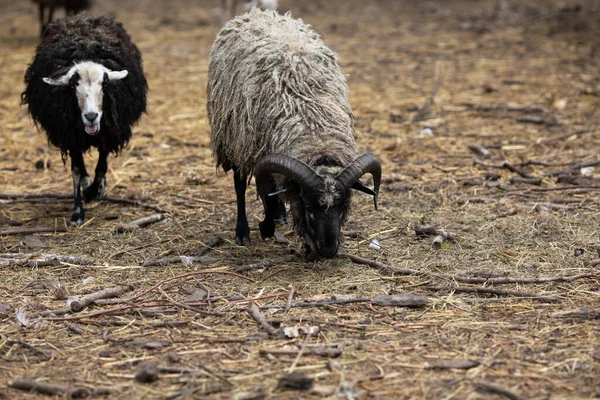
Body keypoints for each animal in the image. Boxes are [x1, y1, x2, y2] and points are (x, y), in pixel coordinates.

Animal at [22, 14, 148, 225]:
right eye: (74, 85)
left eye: (104, 84)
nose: (91, 116)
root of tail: (82, 17)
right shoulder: (70, 136)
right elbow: (76, 171)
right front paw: (78, 211)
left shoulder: (108, 135)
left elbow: (101, 167)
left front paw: (94, 191)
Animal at [209, 10, 382, 260]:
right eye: (308, 206)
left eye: (344, 205)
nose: (328, 251)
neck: (317, 134)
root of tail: (259, 12)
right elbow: (262, 191)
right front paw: (265, 227)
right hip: (234, 138)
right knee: (240, 184)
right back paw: (243, 232)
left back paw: (279, 214)